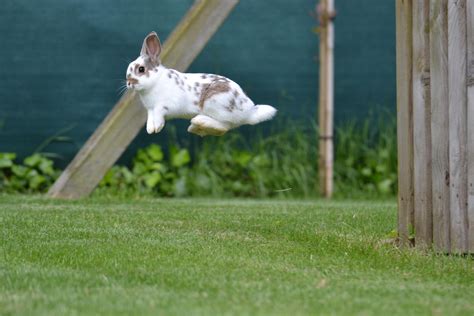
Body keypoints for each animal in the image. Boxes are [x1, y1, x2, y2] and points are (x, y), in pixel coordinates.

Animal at [126, 31, 276, 136]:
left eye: (141, 69)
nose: (128, 82)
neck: (155, 82)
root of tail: (250, 111)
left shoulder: (164, 105)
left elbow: (159, 111)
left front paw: (157, 126)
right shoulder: (150, 110)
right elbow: (151, 118)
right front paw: (151, 129)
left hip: (214, 103)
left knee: (224, 127)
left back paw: (200, 121)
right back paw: (196, 127)